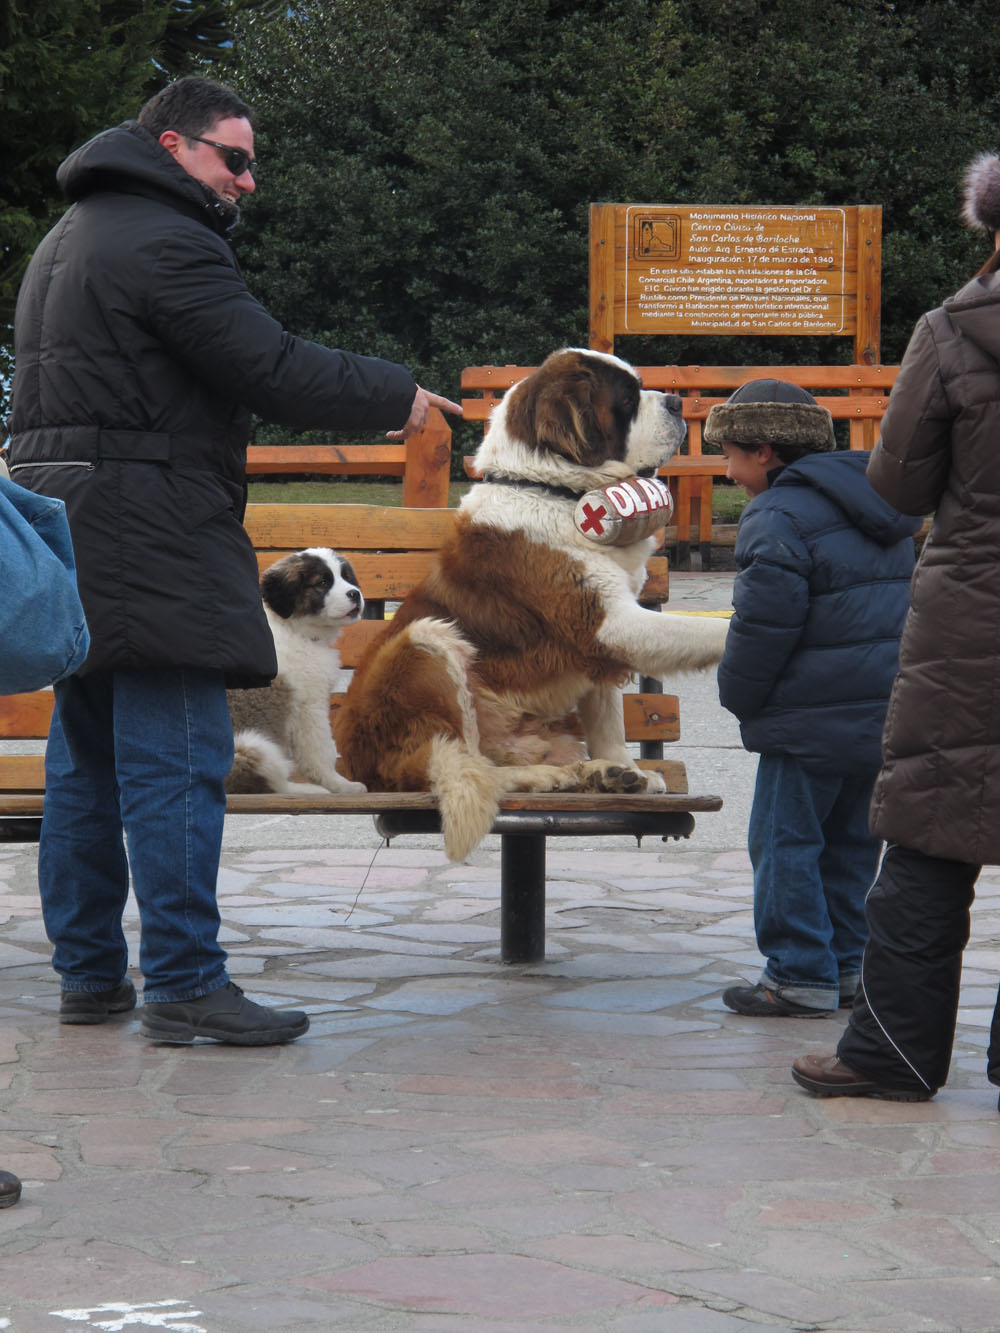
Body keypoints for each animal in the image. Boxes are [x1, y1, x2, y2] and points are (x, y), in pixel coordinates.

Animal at [226, 549, 368, 794]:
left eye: (346, 577)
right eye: (322, 582)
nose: (355, 594)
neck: (295, 629)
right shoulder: (309, 706)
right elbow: (320, 750)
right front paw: (339, 784)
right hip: (253, 747)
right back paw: (311, 791)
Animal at [334, 349, 730, 858]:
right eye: (625, 400)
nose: (679, 403)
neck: (553, 489)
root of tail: (355, 765)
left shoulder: (600, 645)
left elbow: (608, 719)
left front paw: (624, 767)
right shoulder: (608, 623)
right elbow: (705, 630)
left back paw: (596, 774)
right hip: (426, 639)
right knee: (461, 765)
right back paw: (549, 776)